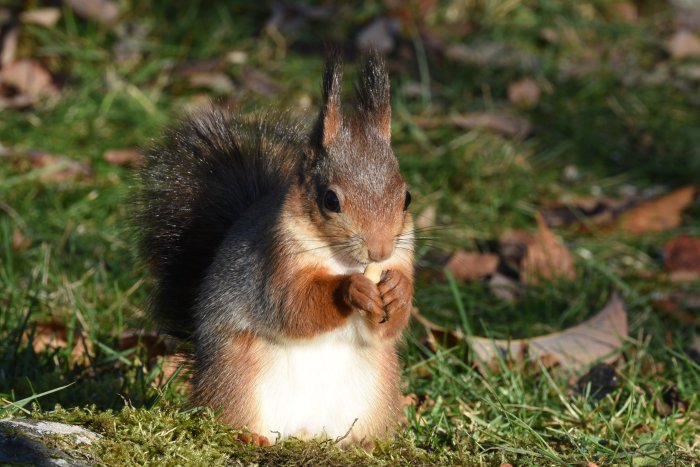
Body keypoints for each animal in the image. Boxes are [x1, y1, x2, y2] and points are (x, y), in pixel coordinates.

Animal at [137, 51, 416, 446]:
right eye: (330, 200)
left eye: (407, 198)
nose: (379, 252)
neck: (344, 261)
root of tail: (305, 432)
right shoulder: (274, 264)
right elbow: (293, 306)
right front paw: (352, 290)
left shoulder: (404, 256)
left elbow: (388, 328)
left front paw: (396, 291)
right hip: (239, 375)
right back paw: (250, 437)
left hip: (378, 385)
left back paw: (362, 444)